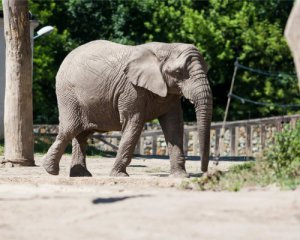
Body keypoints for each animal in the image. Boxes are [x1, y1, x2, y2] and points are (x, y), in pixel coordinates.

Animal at [42, 40, 213, 177]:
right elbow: (134, 124)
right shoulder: (131, 89)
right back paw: (51, 170)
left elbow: (174, 126)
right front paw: (119, 175)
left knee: (82, 134)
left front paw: (181, 176)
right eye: (178, 72)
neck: (166, 47)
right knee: (70, 129)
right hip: (68, 95)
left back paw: (81, 175)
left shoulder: (169, 93)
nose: (204, 171)